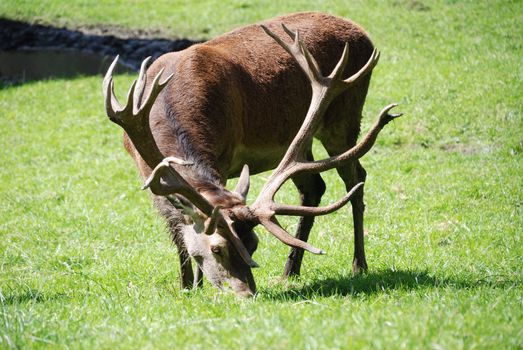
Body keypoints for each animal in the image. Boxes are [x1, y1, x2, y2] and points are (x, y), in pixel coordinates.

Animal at [102, 12, 402, 296]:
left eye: (253, 245)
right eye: (217, 249)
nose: (248, 293)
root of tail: (362, 33)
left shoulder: (223, 159)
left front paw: (197, 287)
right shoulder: (148, 176)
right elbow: (178, 235)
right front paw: (187, 287)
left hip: (344, 118)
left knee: (356, 178)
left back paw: (358, 264)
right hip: (297, 142)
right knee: (315, 187)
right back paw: (290, 271)